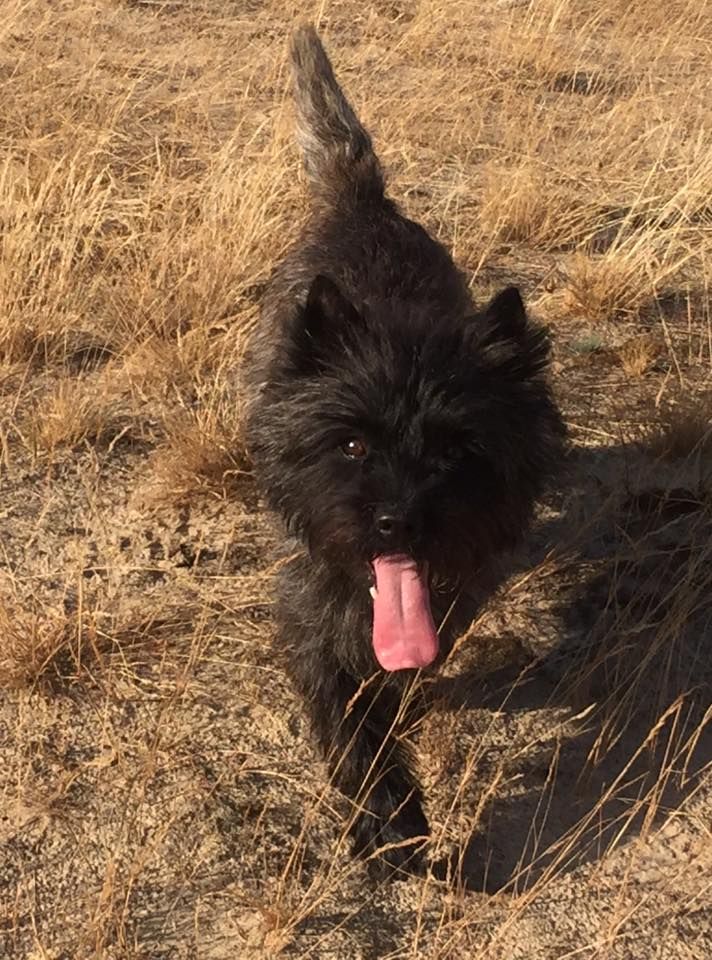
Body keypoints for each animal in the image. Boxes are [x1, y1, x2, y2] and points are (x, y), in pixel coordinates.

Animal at [242, 24, 564, 876]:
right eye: (351, 443)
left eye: (456, 453)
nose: (398, 521)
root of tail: (365, 202)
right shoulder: (312, 610)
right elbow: (351, 715)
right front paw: (386, 817)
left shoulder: (456, 588)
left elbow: (397, 682)